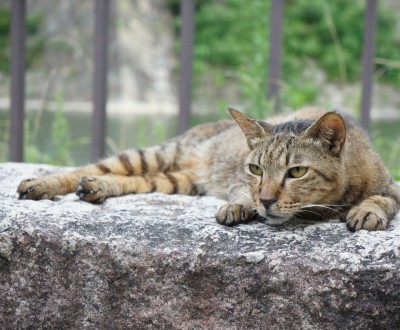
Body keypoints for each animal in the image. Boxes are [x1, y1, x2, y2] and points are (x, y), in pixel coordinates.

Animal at [17, 107, 400, 231]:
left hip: (174, 180)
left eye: (296, 172)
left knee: (131, 180)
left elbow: (382, 199)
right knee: (90, 166)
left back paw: (95, 187)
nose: (266, 201)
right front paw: (240, 206)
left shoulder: (391, 186)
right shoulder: (238, 182)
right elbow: (240, 194)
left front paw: (367, 211)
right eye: (255, 169)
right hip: (156, 155)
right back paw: (41, 184)